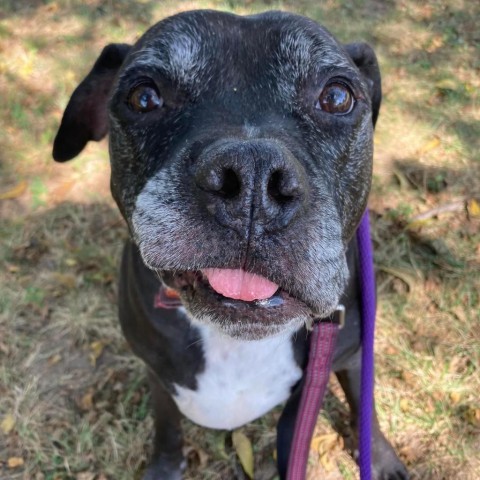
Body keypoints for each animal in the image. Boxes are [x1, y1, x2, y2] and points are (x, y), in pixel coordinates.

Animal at [52, 8, 408, 480]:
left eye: (336, 97)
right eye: (144, 98)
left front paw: (380, 456)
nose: (253, 176)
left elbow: (359, 403)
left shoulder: (344, 360)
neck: (236, 341)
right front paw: (165, 467)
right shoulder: (156, 373)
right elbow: (167, 427)